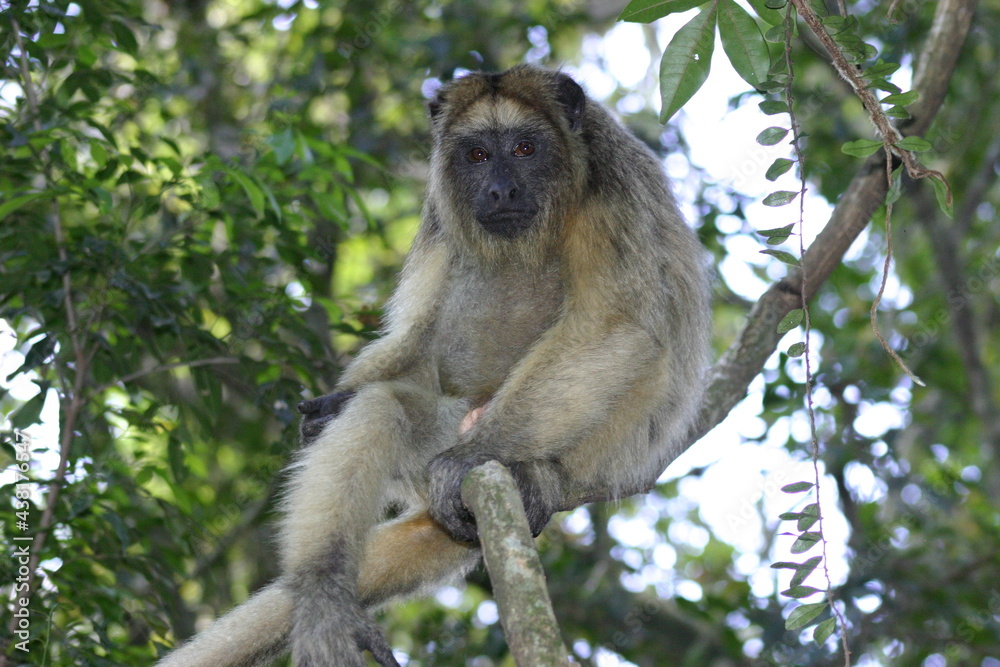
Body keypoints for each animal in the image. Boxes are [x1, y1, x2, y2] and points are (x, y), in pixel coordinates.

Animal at [155, 64, 711, 667]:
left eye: (524, 148)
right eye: (476, 155)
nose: (501, 189)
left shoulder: (615, 188)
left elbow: (617, 326)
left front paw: (467, 457)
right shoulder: (440, 210)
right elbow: (416, 333)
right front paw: (334, 405)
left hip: (581, 448)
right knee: (386, 407)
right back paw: (323, 589)